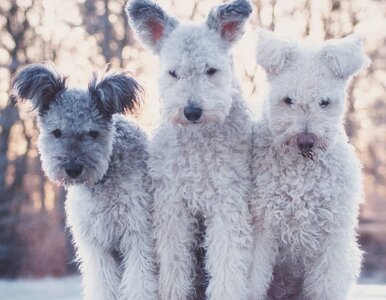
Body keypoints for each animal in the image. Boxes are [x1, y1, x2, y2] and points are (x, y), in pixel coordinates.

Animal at [126, 0, 253, 300]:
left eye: (211, 70)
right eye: (173, 73)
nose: (192, 111)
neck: (198, 143)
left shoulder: (227, 202)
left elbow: (227, 264)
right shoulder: (172, 205)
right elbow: (173, 265)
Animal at [249, 31, 370, 300]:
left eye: (324, 102)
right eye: (288, 100)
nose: (306, 141)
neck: (302, 173)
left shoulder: (331, 238)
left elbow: (325, 286)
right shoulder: (263, 230)